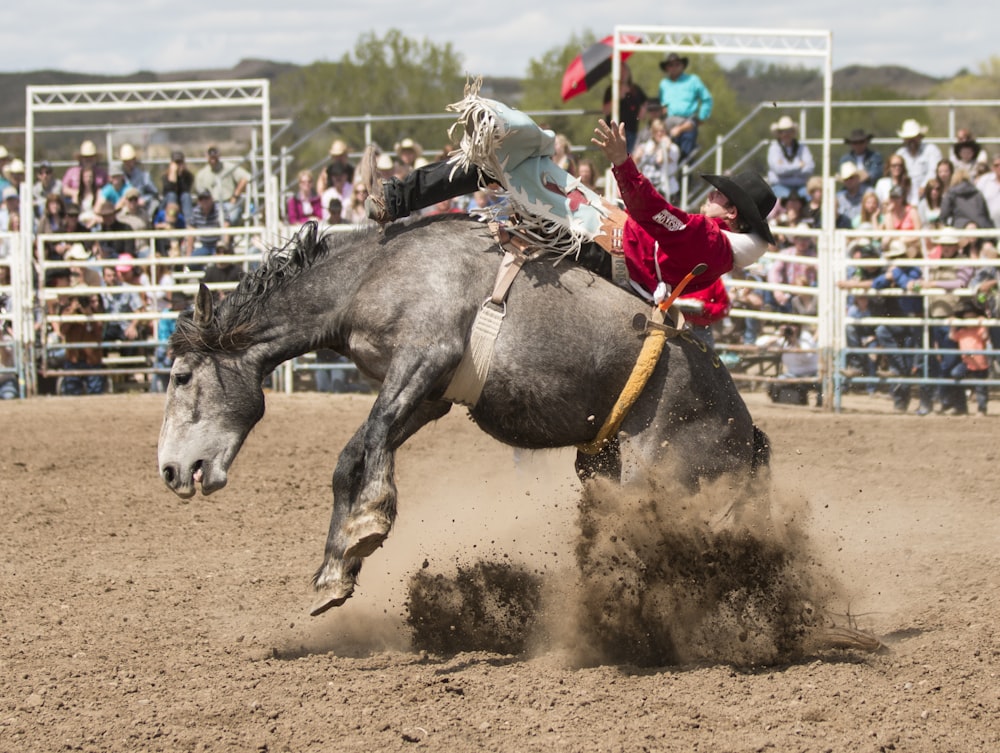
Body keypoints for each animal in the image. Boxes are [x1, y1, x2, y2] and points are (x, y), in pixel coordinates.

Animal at [156, 214, 768, 612]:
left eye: (181, 376)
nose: (169, 470)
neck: (372, 273)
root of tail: (750, 431)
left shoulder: (424, 357)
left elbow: (370, 442)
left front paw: (369, 522)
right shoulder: (429, 394)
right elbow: (352, 456)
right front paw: (335, 571)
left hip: (661, 473)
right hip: (605, 469)